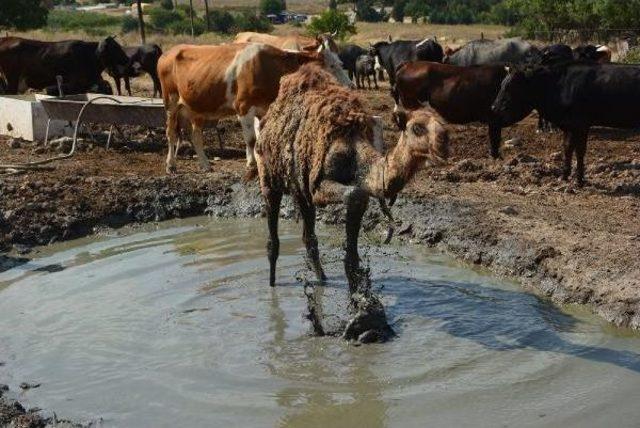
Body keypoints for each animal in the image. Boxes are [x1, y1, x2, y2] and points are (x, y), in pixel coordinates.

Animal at [158, 40, 352, 174]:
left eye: (340, 62)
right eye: (331, 65)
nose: (349, 85)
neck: (269, 68)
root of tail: (168, 52)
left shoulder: (264, 109)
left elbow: (262, 138)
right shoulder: (243, 107)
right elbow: (251, 139)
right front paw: (251, 164)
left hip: (197, 108)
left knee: (196, 136)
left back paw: (205, 165)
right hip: (171, 103)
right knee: (171, 134)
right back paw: (170, 165)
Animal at [252, 62, 448, 338]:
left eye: (443, 122)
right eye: (417, 127)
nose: (445, 142)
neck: (356, 152)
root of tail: (264, 123)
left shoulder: (339, 191)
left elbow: (353, 255)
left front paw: (362, 310)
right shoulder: (319, 185)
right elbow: (354, 194)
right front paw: (360, 315)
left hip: (299, 187)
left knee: (309, 237)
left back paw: (322, 281)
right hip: (268, 179)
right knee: (273, 239)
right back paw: (272, 289)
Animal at [496, 61, 640, 186]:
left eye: (511, 88)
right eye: (501, 85)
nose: (494, 107)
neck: (558, 85)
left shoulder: (581, 125)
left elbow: (579, 151)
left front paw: (579, 180)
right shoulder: (569, 126)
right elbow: (567, 148)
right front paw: (564, 176)